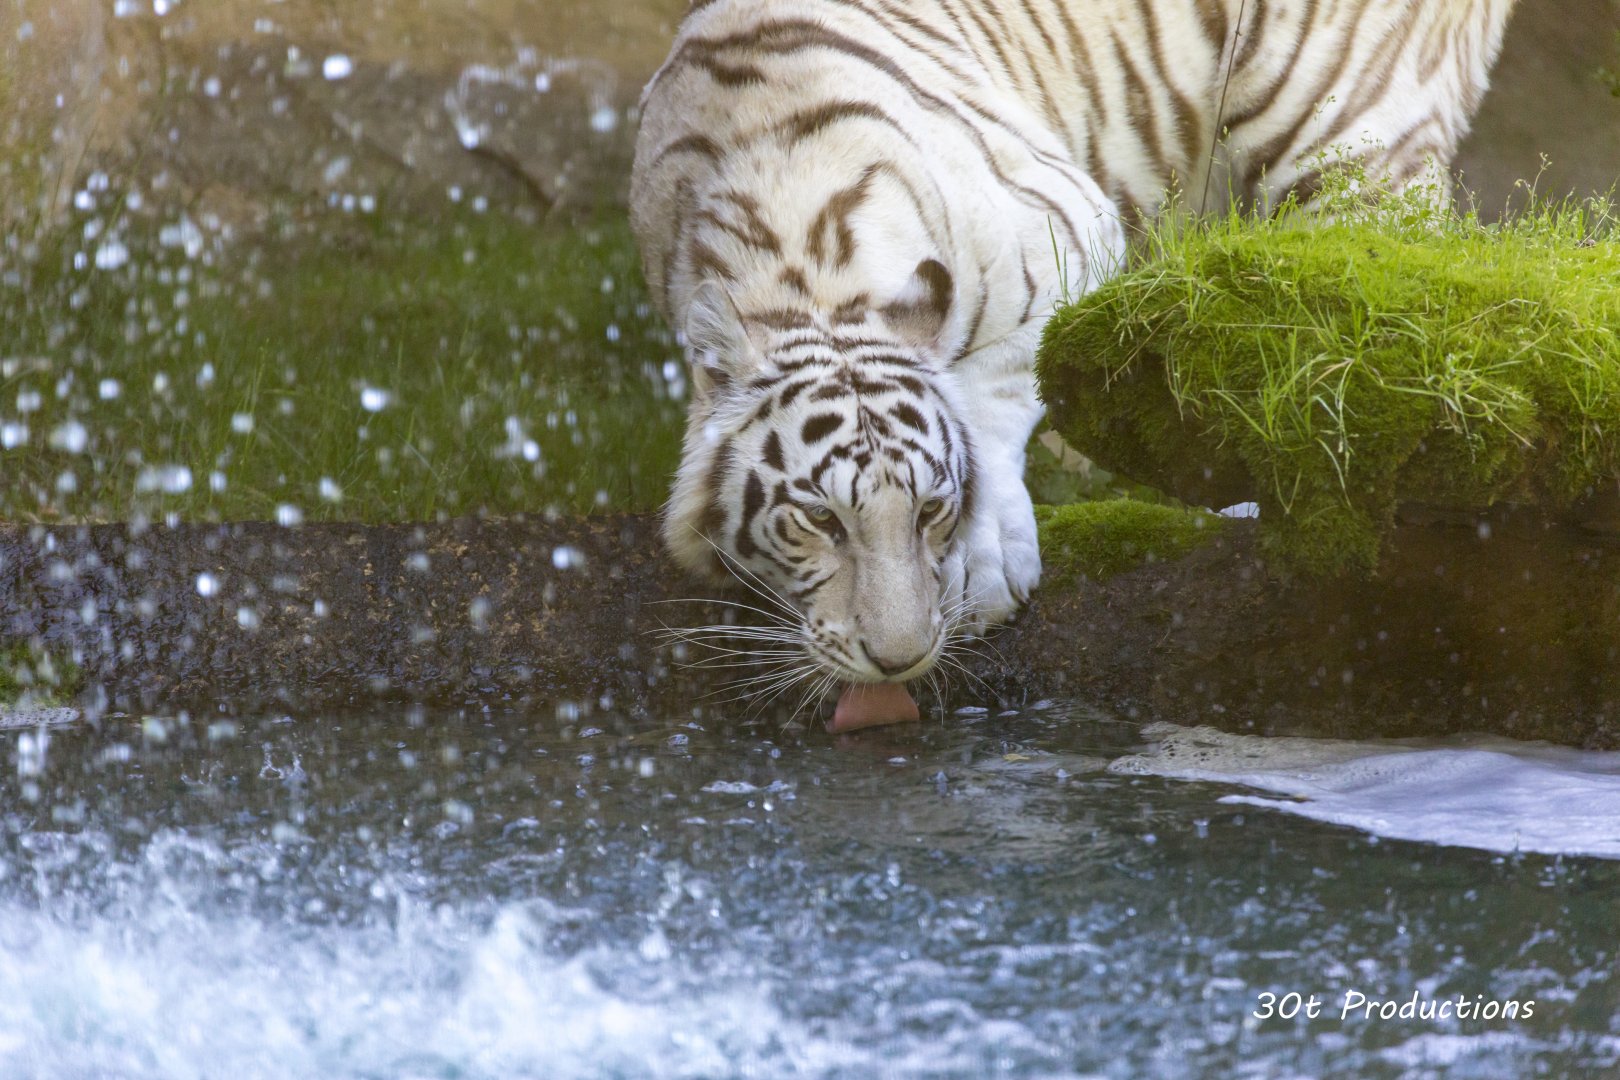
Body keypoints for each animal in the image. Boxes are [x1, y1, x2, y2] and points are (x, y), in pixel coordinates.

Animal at [630, 0, 1517, 718]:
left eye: (930, 510)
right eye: (820, 521)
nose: (899, 659)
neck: (802, 262)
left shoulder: (1063, 229)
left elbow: (997, 386)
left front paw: (986, 566)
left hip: (1342, 143)